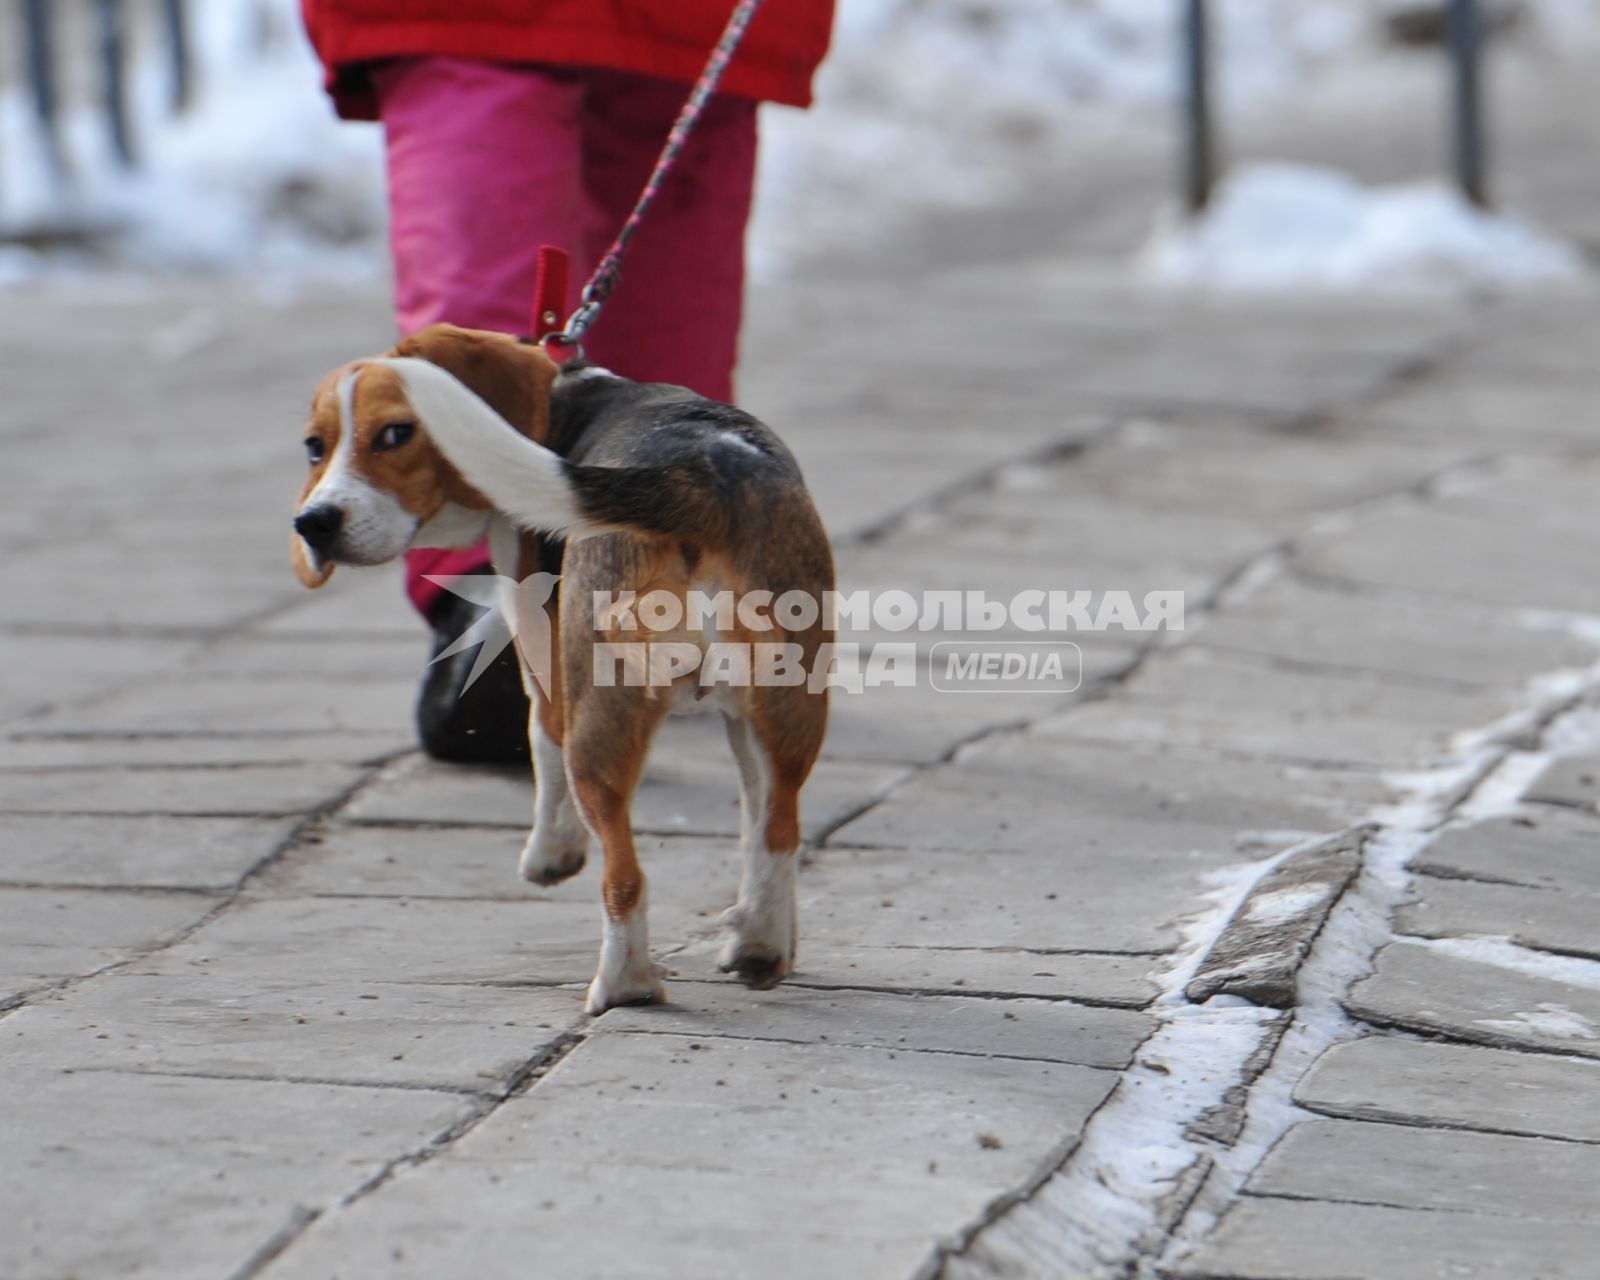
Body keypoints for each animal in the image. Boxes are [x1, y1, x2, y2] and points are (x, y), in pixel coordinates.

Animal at [291, 324, 838, 1017]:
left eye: (395, 433)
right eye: (315, 446)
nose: (313, 523)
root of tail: (698, 479)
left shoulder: (542, 659)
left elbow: (540, 745)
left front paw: (551, 851)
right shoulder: (744, 721)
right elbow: (758, 825)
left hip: (601, 712)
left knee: (623, 872)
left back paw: (623, 984)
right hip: (789, 704)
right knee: (779, 828)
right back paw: (760, 946)